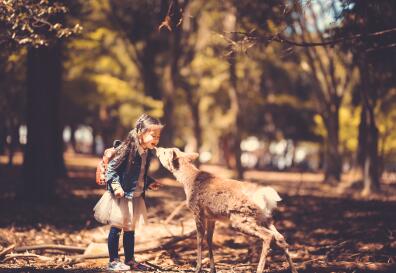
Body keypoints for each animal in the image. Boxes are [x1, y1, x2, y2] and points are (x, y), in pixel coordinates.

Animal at [154, 147, 296, 272]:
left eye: (166, 152)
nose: (157, 148)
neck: (188, 182)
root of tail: (266, 197)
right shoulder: (211, 217)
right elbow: (209, 239)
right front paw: (212, 269)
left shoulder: (197, 211)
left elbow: (199, 239)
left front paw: (198, 268)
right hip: (264, 218)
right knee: (280, 237)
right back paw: (293, 269)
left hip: (241, 218)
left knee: (268, 236)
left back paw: (259, 269)